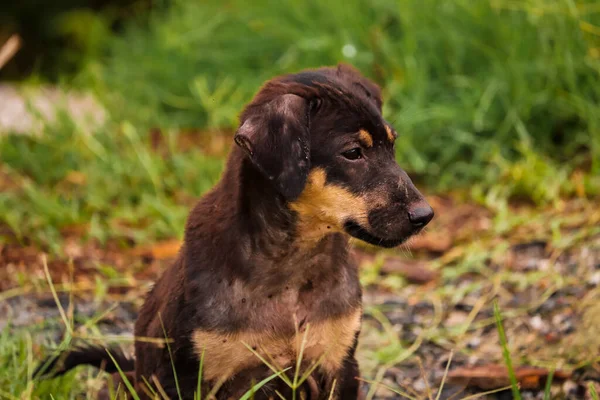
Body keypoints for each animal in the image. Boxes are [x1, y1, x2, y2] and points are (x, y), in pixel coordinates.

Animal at [35, 64, 434, 398]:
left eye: (392, 145)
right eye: (353, 153)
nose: (425, 215)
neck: (291, 265)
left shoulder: (339, 366)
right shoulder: (193, 379)